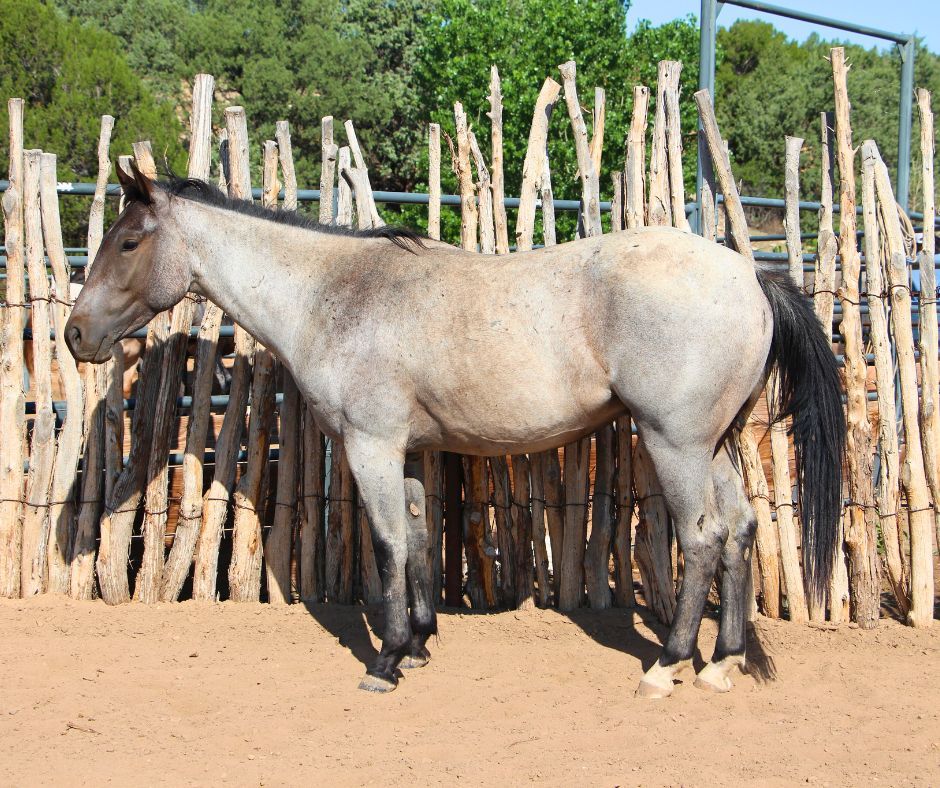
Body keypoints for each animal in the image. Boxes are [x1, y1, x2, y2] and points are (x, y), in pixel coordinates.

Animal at [65, 161, 844, 697]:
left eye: (129, 241)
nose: (76, 335)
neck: (335, 294)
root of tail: (751, 278)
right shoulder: (407, 453)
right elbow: (414, 538)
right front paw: (417, 642)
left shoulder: (370, 447)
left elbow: (385, 544)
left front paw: (384, 660)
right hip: (714, 446)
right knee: (740, 531)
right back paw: (723, 663)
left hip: (674, 445)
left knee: (704, 537)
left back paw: (670, 664)